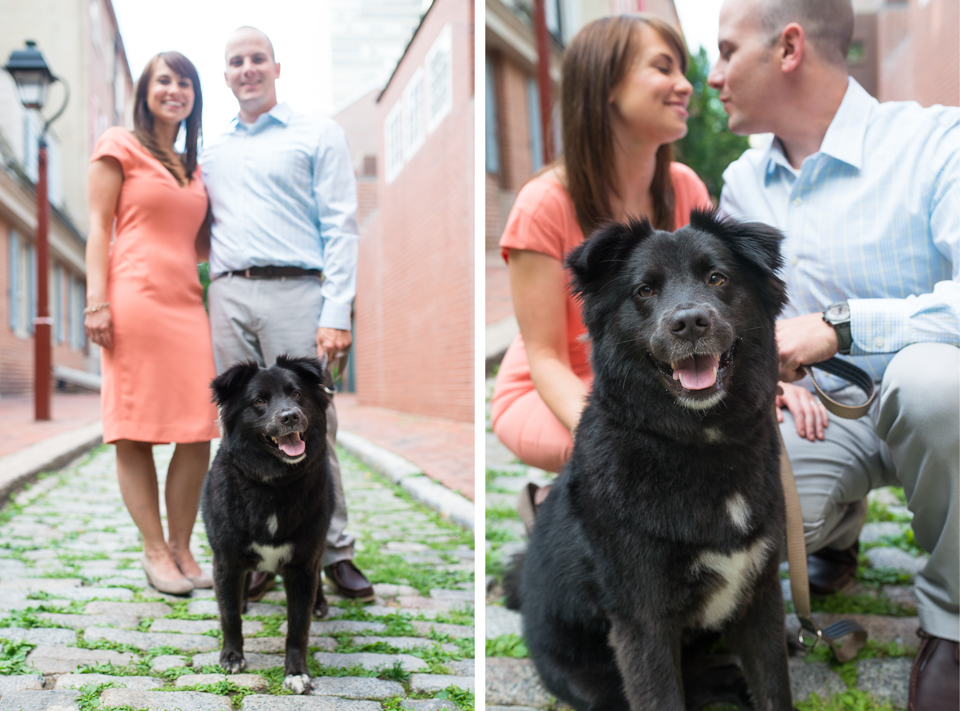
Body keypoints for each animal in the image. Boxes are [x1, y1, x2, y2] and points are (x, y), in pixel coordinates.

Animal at [202, 356, 334, 696]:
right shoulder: (226, 561)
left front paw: (297, 672)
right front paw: (232, 656)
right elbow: (230, 615)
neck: (274, 485)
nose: (290, 416)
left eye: (297, 394)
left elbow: (298, 626)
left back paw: (320, 603)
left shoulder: (303, 565)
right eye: (259, 401)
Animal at [506, 211, 792, 711]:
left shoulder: (760, 594)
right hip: (596, 683)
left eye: (717, 278)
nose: (690, 322)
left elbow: (775, 687)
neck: (703, 444)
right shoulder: (644, 620)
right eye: (644, 290)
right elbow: (661, 697)